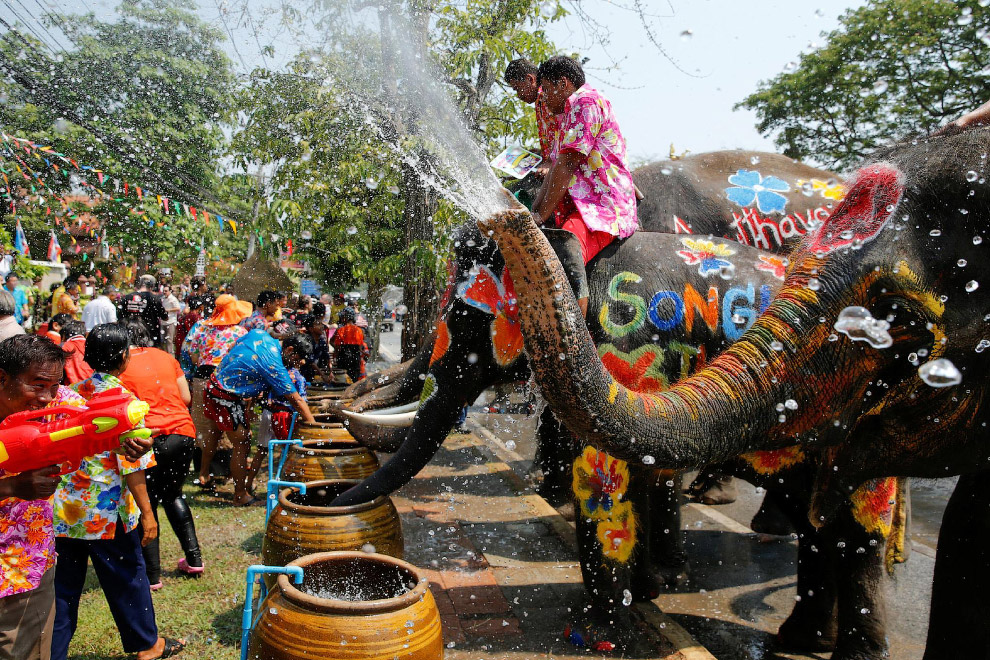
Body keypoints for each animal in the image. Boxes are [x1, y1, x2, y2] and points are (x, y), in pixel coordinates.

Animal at [484, 127, 990, 660]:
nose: (504, 210)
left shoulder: (637, 339)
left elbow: (617, 470)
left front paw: (608, 623)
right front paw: (644, 593)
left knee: (856, 527)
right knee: (816, 517)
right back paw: (801, 635)